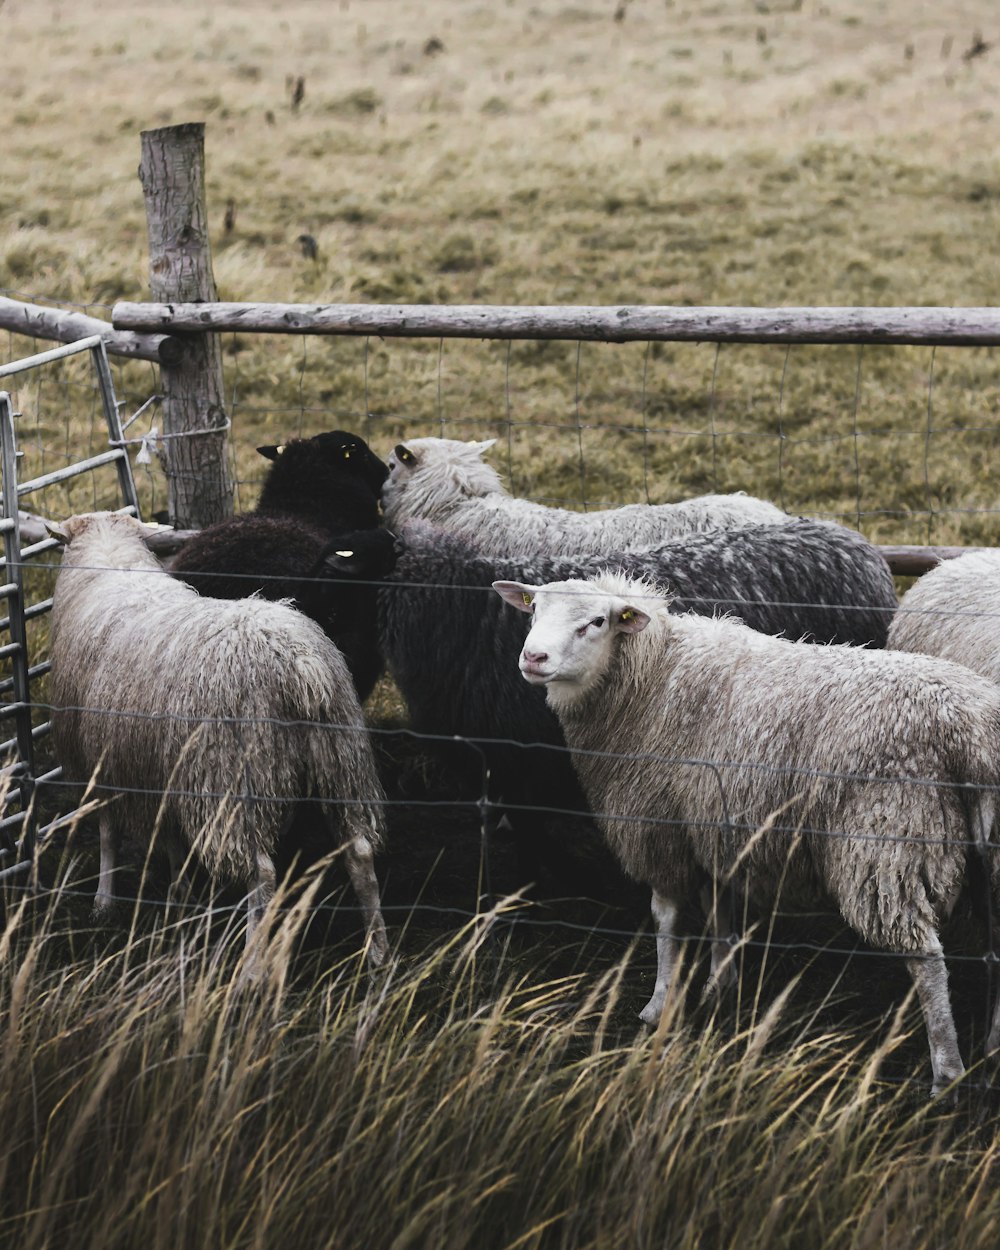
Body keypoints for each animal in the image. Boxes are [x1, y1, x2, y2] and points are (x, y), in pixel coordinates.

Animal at [47, 510, 390, 975]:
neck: (111, 562)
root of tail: (298, 663)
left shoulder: (102, 760)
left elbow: (107, 834)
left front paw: (104, 902)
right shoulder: (157, 768)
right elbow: (168, 836)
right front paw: (179, 891)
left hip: (234, 778)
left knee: (261, 873)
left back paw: (251, 969)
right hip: (341, 759)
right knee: (359, 852)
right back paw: (378, 954)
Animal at [495, 572, 1000, 1100]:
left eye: (595, 622)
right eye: (534, 610)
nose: (533, 658)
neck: (651, 676)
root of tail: (968, 732)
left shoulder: (658, 825)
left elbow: (666, 919)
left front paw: (659, 1005)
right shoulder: (713, 825)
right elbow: (719, 904)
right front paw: (720, 984)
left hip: (886, 843)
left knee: (926, 960)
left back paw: (946, 1073)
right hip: (985, 852)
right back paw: (992, 1044)